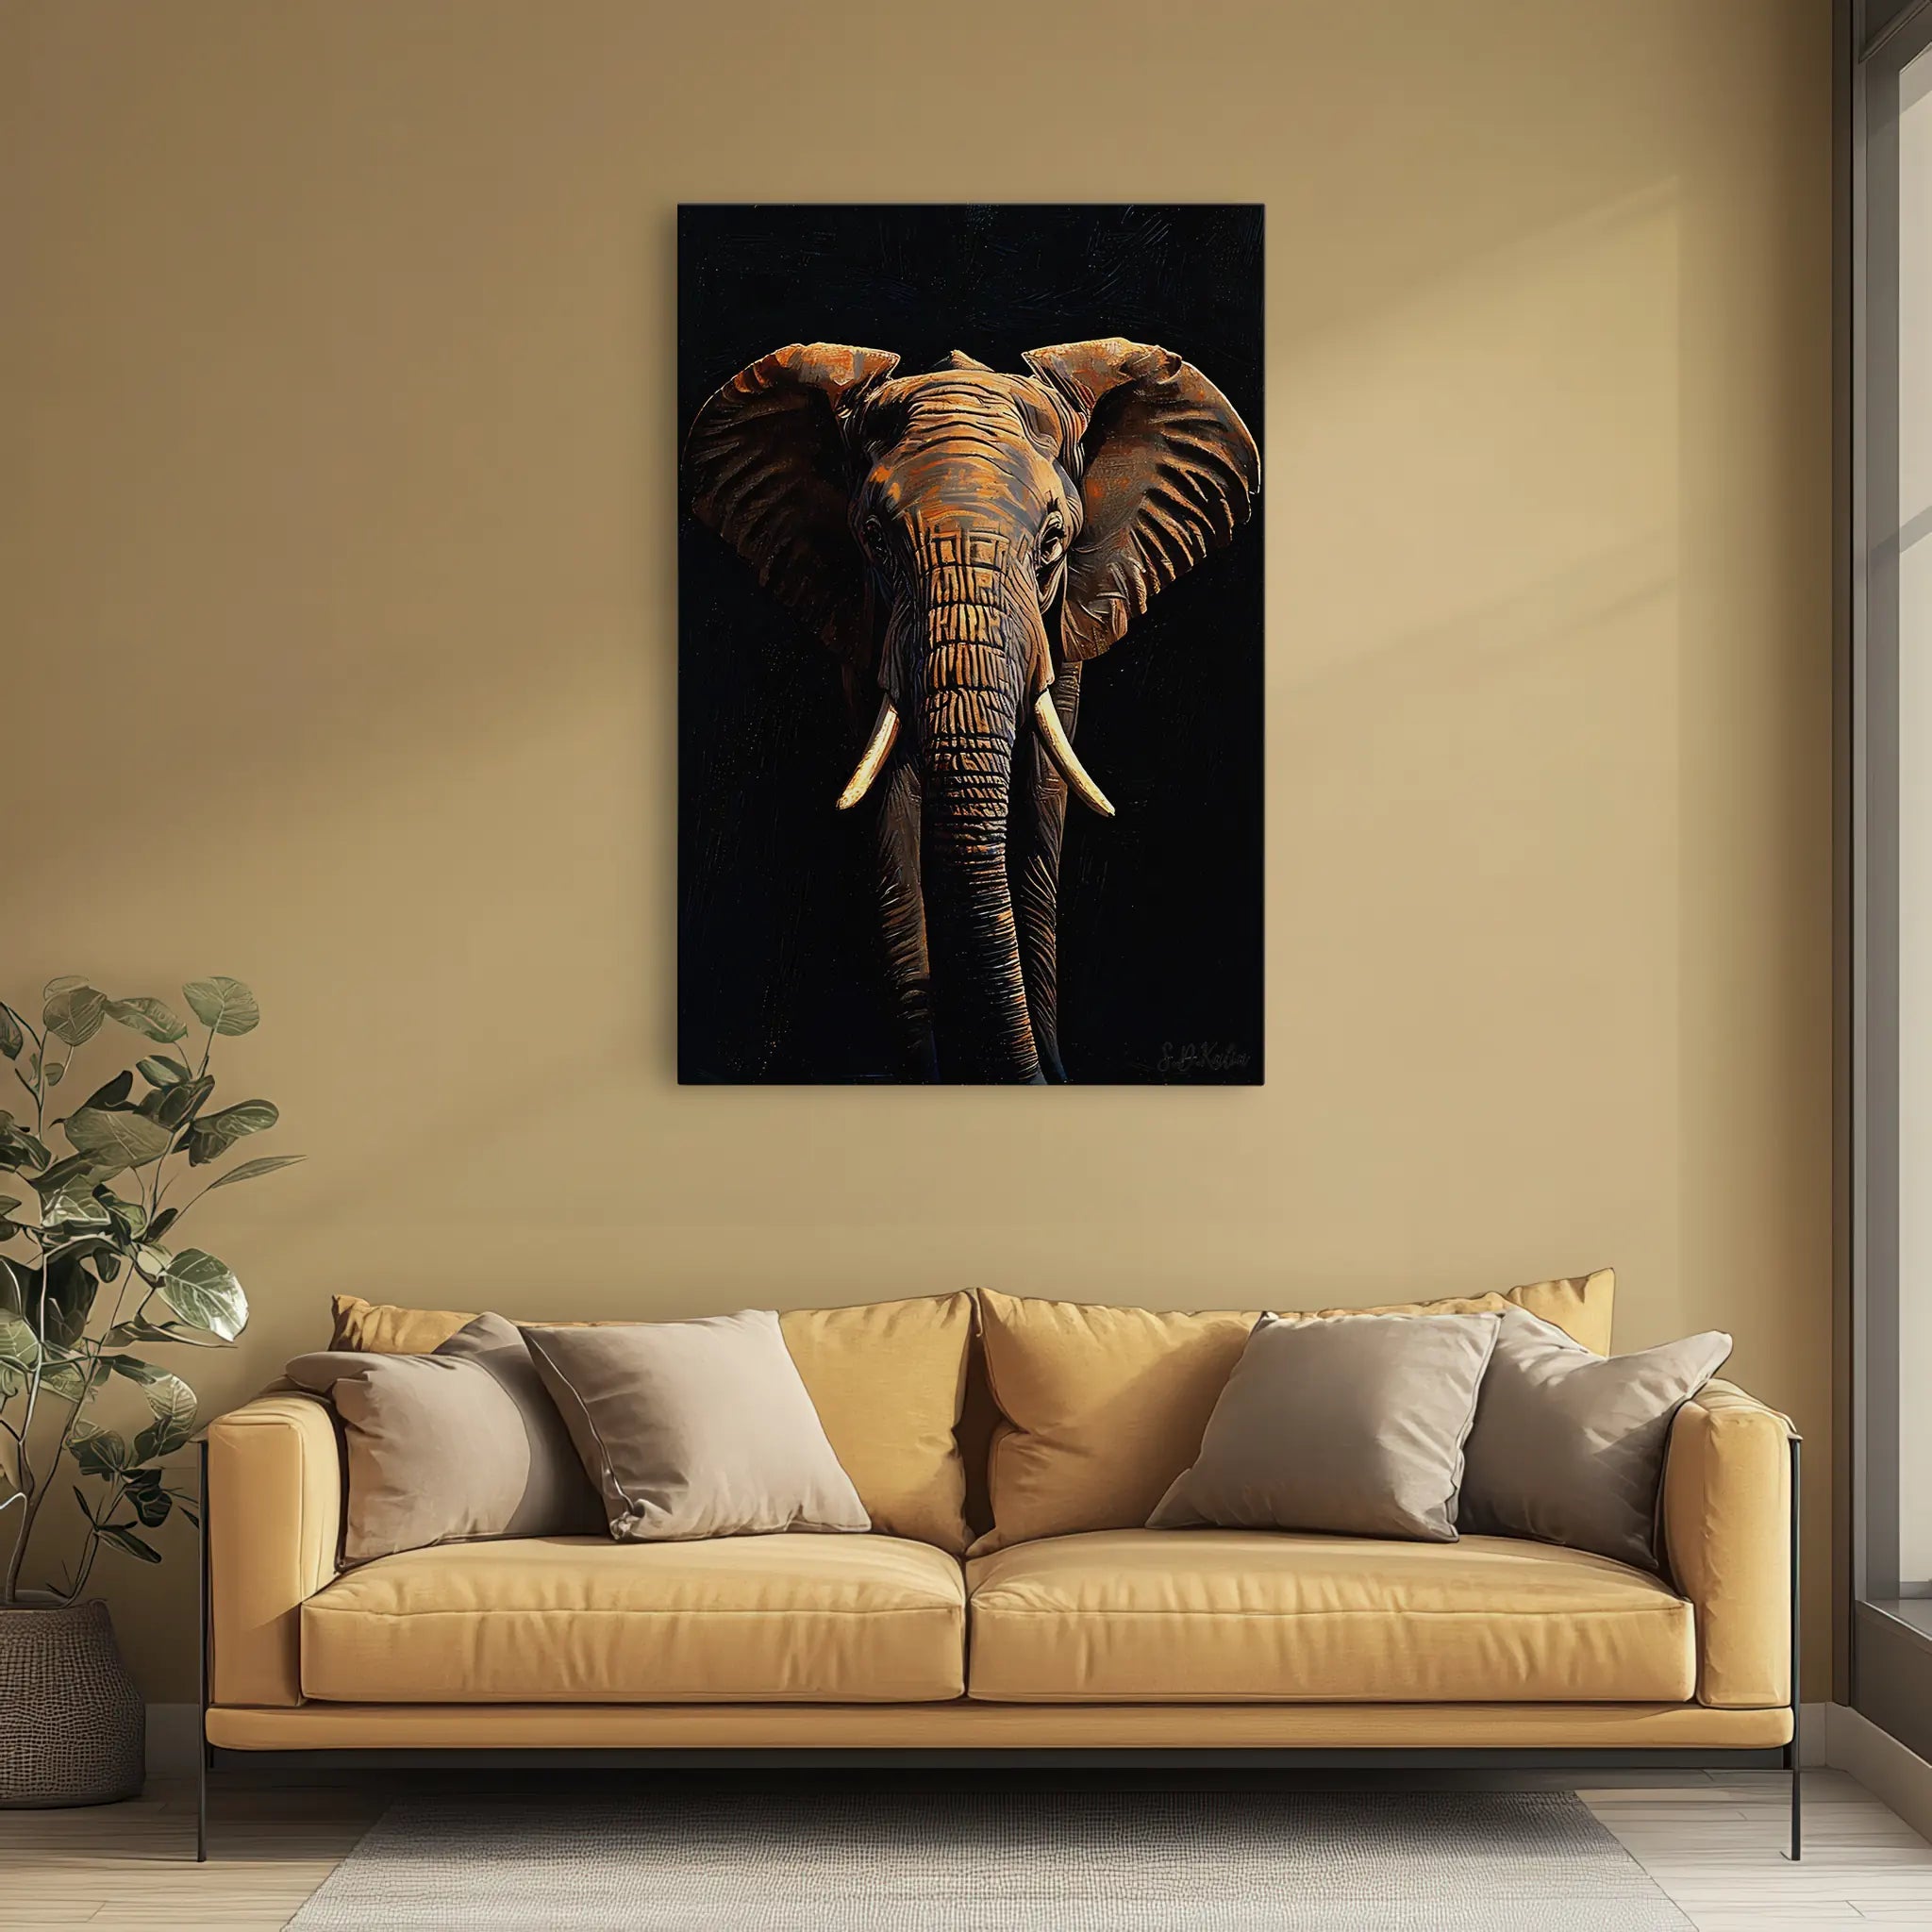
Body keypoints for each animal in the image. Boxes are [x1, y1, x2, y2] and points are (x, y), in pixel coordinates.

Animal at [682, 338, 1259, 1084]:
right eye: (874, 538)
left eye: (1053, 543)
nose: (1039, 1072)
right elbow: (890, 800)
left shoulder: (1062, 622)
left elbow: (1044, 795)